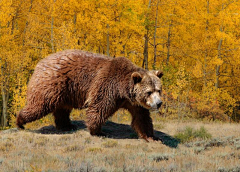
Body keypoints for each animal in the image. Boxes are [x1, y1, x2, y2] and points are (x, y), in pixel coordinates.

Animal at [16, 49, 163, 142]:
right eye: (149, 92)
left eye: (159, 90)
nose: (158, 103)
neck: (124, 91)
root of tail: (41, 62)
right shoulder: (108, 87)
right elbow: (99, 107)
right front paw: (97, 131)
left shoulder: (134, 103)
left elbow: (141, 118)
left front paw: (152, 137)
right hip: (53, 82)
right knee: (39, 104)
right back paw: (20, 121)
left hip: (66, 91)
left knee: (62, 109)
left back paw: (67, 125)